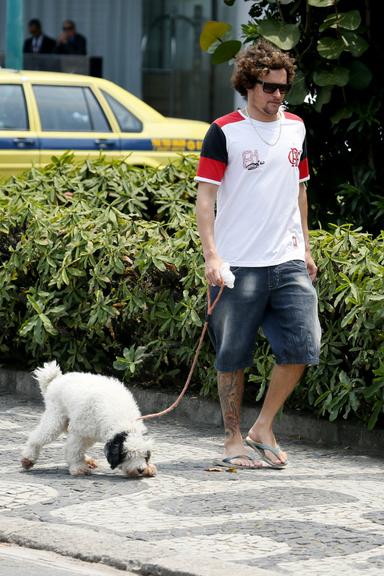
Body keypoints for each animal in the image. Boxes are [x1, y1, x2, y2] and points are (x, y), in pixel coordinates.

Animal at [20, 360, 156, 476]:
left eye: (145, 456)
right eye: (127, 454)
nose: (140, 469)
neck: (123, 420)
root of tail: (56, 380)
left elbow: (75, 449)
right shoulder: (79, 432)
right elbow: (73, 450)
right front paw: (78, 467)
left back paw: (87, 460)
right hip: (56, 420)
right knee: (38, 437)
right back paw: (28, 458)